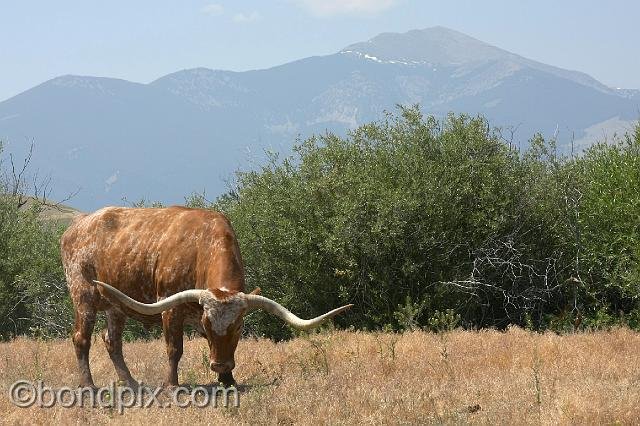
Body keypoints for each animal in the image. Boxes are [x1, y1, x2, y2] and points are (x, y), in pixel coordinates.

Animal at [62, 205, 352, 388]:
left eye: (239, 327)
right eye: (207, 325)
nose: (220, 367)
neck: (202, 246)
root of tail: (77, 226)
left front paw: (228, 381)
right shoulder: (171, 308)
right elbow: (174, 348)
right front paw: (171, 385)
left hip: (115, 306)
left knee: (112, 341)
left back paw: (131, 383)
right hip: (83, 295)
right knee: (81, 339)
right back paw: (88, 386)